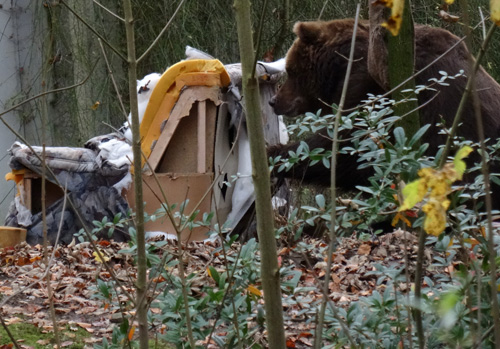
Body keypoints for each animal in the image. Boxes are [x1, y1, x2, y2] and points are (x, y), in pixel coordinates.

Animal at [272, 18, 500, 207]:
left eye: (291, 70)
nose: (273, 101)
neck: (344, 67)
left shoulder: (378, 92)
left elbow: (348, 150)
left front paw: (276, 153)